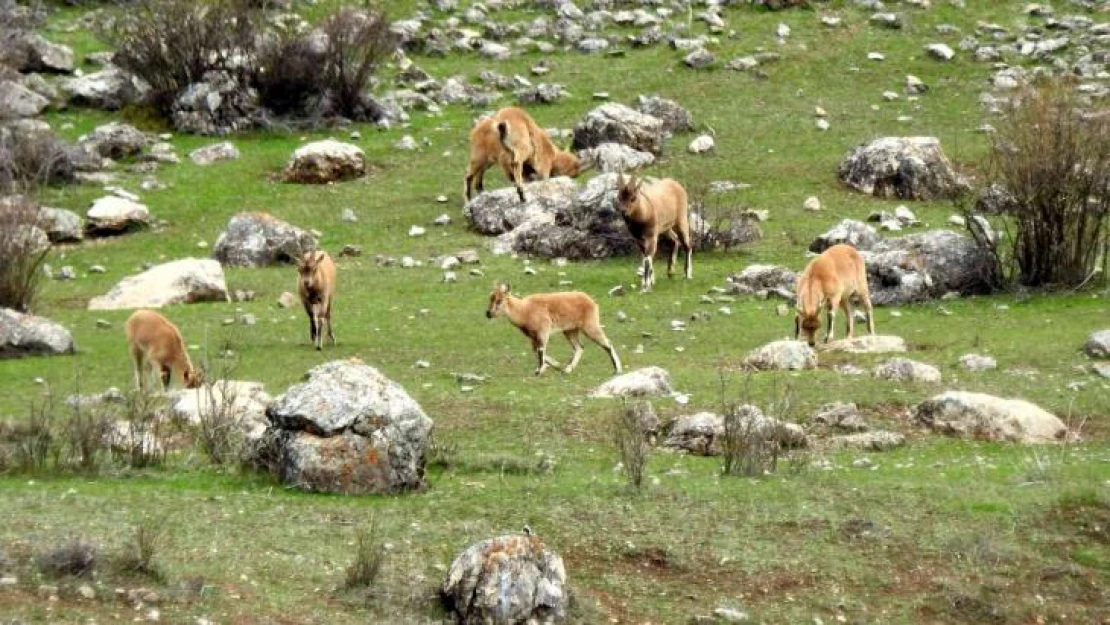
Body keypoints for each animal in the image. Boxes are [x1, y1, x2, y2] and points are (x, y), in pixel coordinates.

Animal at [486, 284, 626, 377]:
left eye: (499, 300)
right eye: (490, 298)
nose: (488, 313)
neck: (524, 310)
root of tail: (591, 301)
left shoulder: (543, 330)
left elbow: (540, 350)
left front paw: (539, 370)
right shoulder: (533, 336)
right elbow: (536, 350)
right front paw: (555, 365)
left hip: (590, 325)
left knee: (607, 343)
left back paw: (617, 370)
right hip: (570, 330)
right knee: (579, 347)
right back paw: (568, 369)